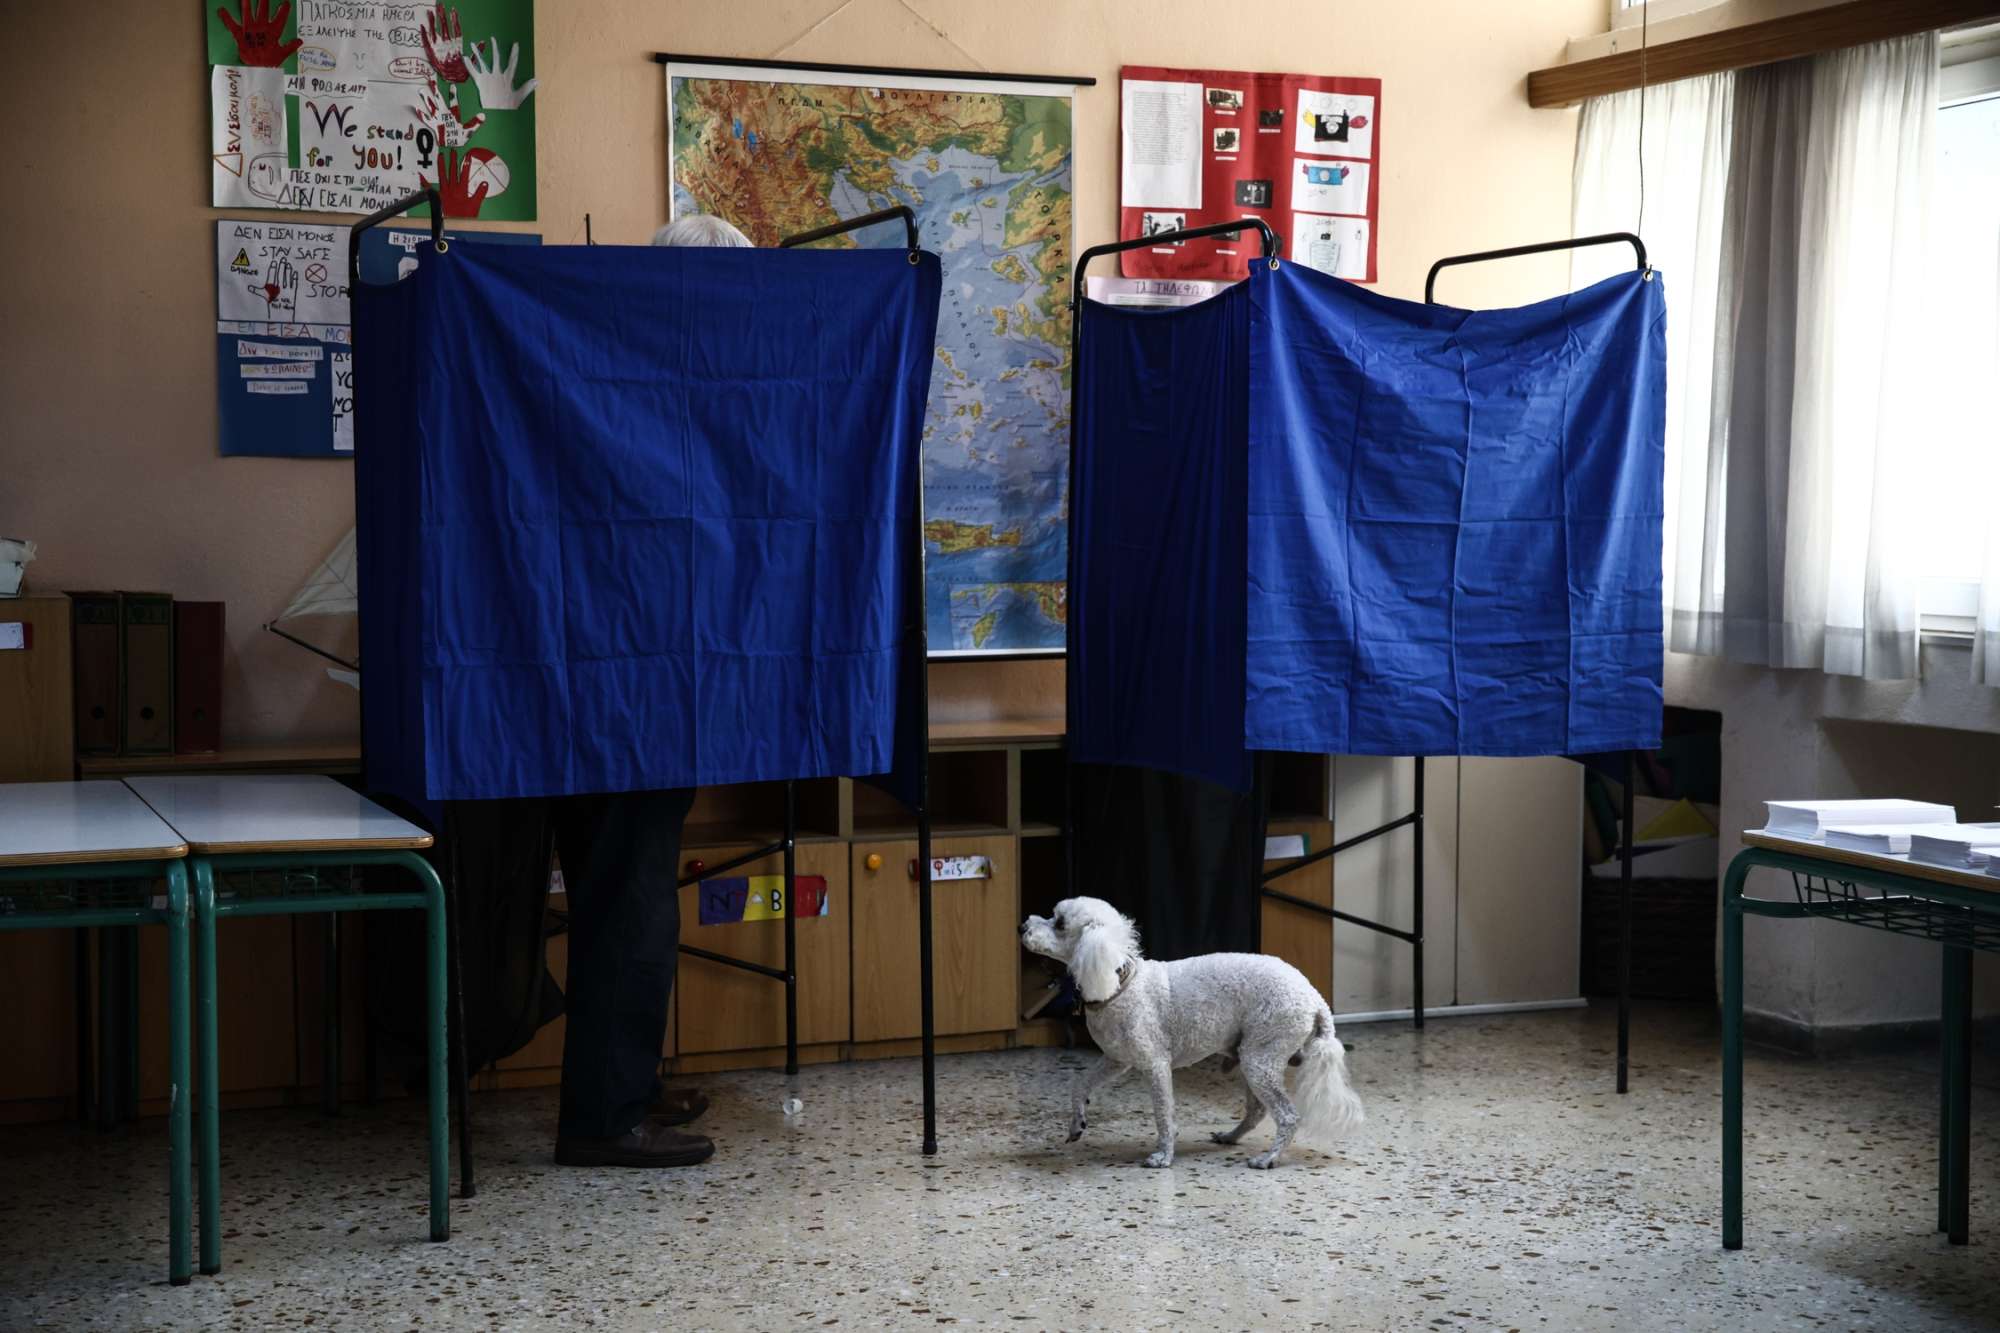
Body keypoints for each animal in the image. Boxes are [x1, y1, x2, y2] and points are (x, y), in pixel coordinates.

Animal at [1020, 897, 1363, 1169]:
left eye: (1059, 923)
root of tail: (1315, 999)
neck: (1120, 981)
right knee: (1257, 1111)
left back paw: (1268, 1158)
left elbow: (1163, 1114)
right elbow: (1079, 1086)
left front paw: (1163, 1156)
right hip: (1253, 1059)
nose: (1022, 926)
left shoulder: (1155, 1065)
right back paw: (1231, 1137)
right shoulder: (1117, 1060)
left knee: (1288, 1116)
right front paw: (1076, 1124)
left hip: (1261, 1058)